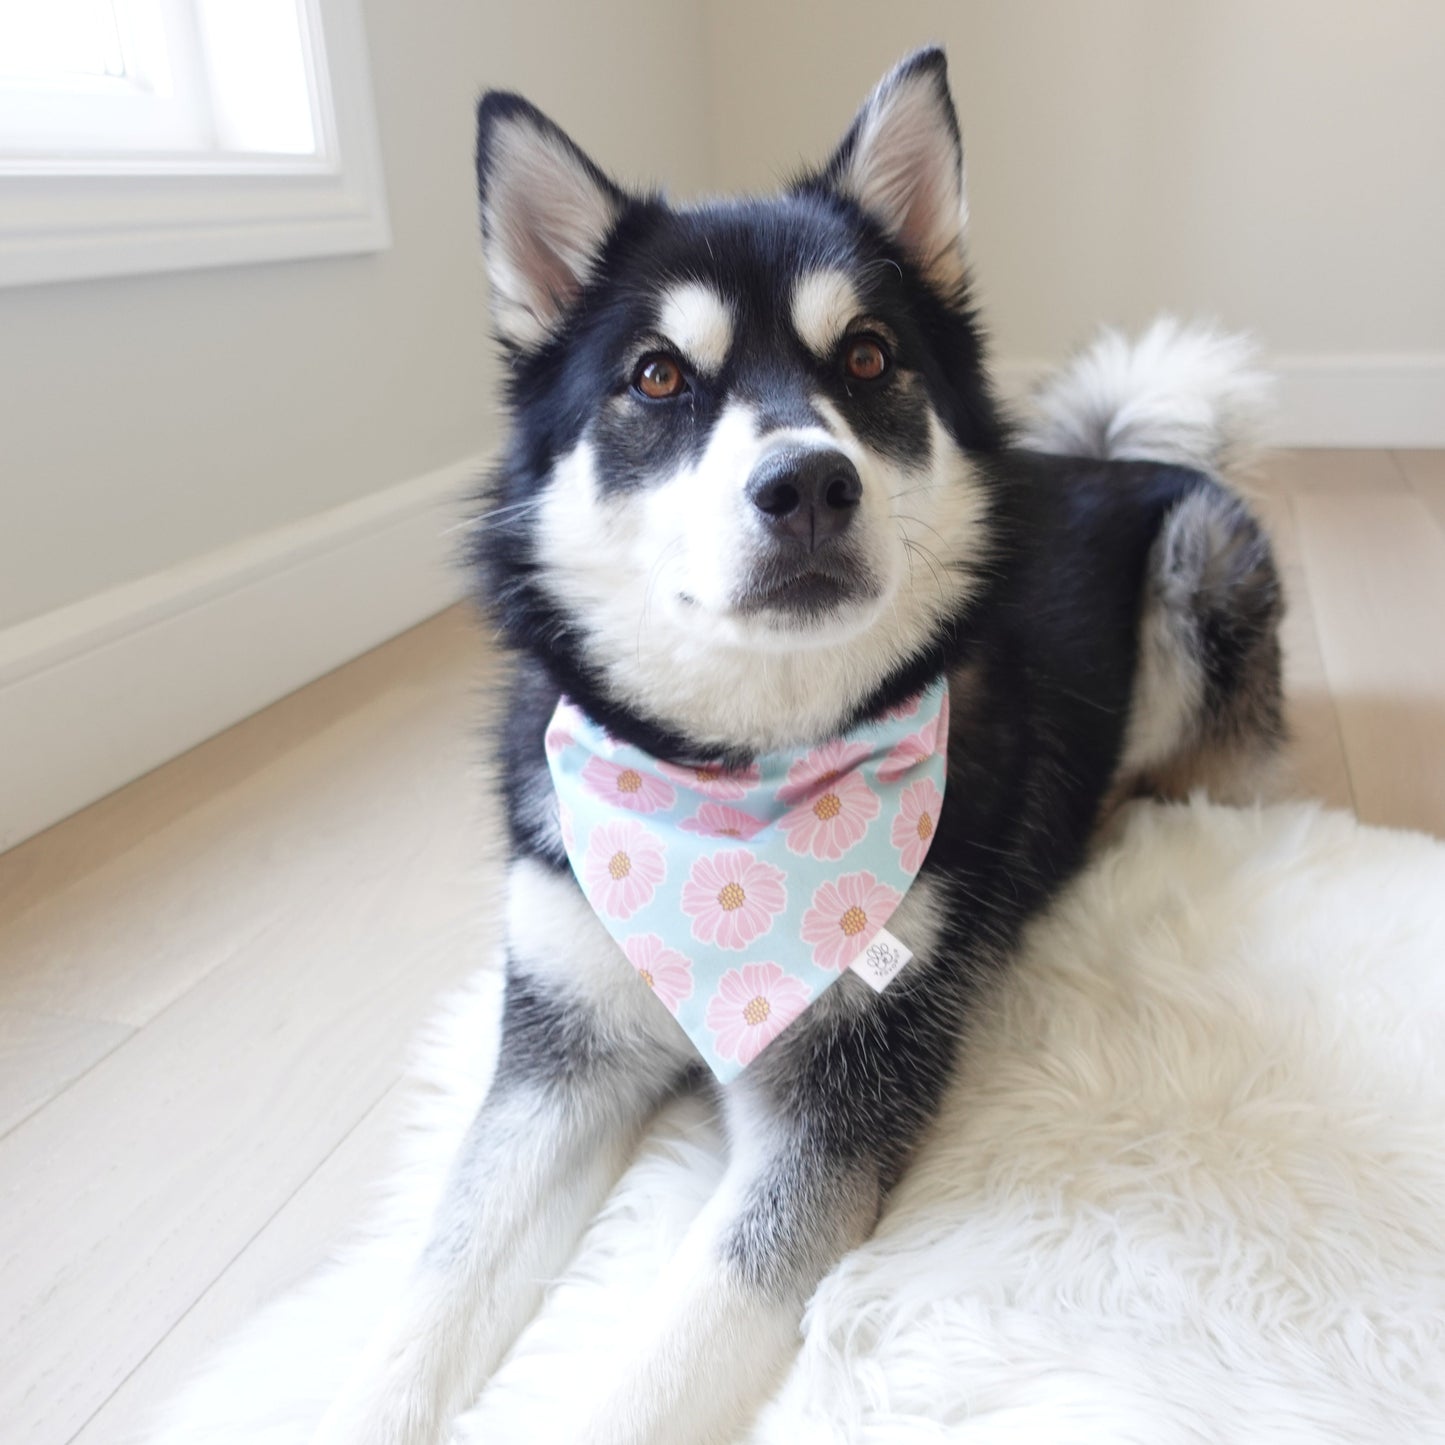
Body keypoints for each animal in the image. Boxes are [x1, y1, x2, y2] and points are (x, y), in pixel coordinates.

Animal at [313, 45, 1277, 1445]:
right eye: (657, 375)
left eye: (866, 355)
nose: (808, 483)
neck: (732, 775)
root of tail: (1103, 454)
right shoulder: (559, 1048)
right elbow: (438, 1277)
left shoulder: (843, 1093)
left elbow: (671, 1346)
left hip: (1197, 570)